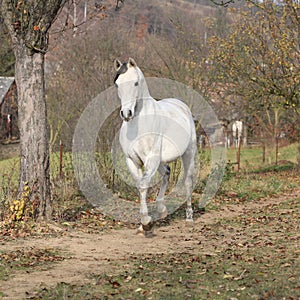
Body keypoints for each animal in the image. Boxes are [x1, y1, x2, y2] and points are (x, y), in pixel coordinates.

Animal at [113, 58, 197, 237]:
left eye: (136, 83)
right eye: (117, 84)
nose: (126, 114)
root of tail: (182, 105)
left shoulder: (151, 158)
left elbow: (144, 185)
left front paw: (146, 223)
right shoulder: (133, 160)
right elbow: (140, 186)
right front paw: (142, 225)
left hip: (188, 153)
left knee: (187, 181)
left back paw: (189, 218)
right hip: (160, 161)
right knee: (166, 173)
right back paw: (162, 209)